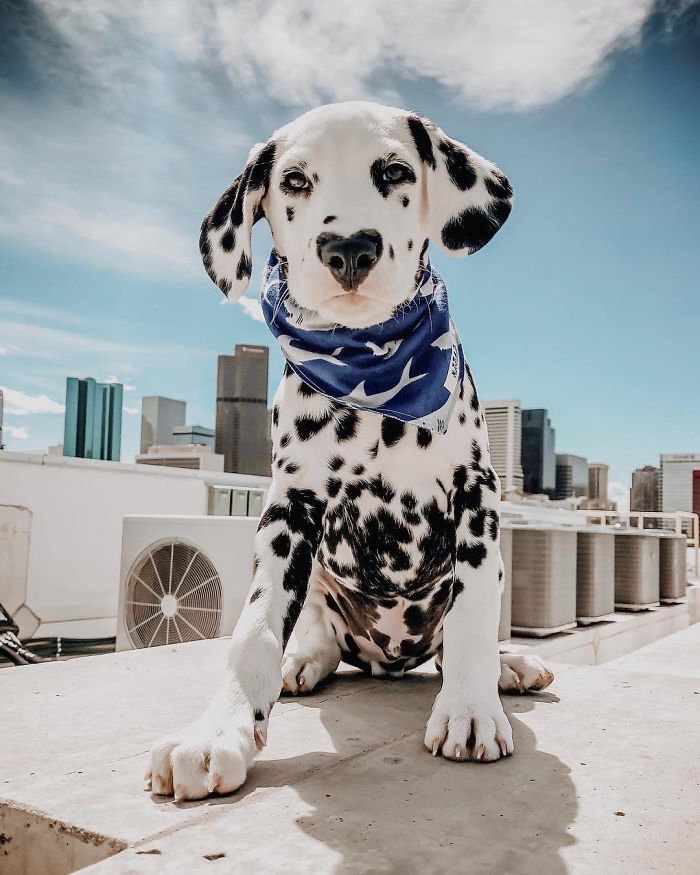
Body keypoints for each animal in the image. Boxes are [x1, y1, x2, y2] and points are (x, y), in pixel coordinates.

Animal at [148, 101, 552, 800]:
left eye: (394, 171)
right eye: (294, 182)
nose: (349, 249)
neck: (372, 368)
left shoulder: (477, 497)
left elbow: (472, 614)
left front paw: (471, 708)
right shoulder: (289, 510)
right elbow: (254, 628)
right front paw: (217, 730)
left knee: (450, 642)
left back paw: (509, 668)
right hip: (319, 586)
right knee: (321, 638)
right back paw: (301, 662)